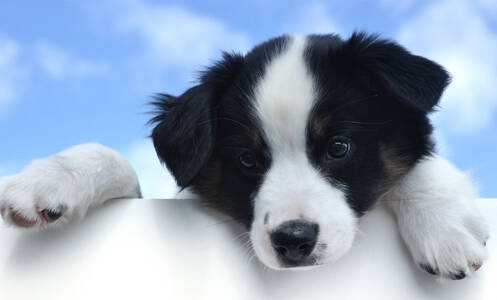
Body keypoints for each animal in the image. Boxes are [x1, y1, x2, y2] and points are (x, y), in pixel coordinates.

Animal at [0, 32, 488, 282]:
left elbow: (418, 165)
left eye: (339, 147)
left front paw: (444, 226)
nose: (293, 241)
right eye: (249, 160)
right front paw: (50, 177)